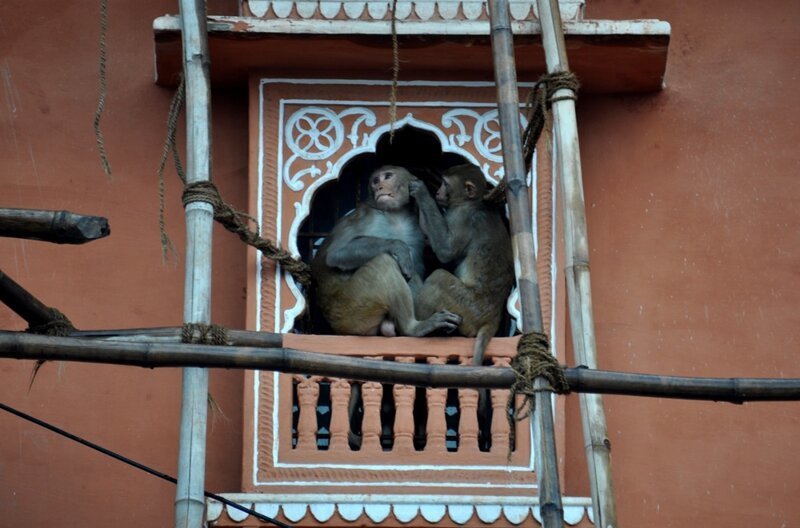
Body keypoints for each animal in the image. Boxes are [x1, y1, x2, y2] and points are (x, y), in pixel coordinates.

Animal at [312, 164, 462, 338]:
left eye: (388, 176)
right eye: (375, 181)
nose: (379, 187)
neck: (396, 214)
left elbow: (440, 254)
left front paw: (422, 192)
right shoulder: (367, 215)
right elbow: (337, 253)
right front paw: (399, 247)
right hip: (349, 310)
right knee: (383, 262)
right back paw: (413, 328)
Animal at [410, 163, 516, 366]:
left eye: (445, 184)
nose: (437, 192)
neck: (473, 202)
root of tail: (494, 317)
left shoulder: (461, 217)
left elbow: (445, 251)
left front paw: (421, 193)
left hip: (468, 308)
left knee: (439, 277)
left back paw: (422, 326)